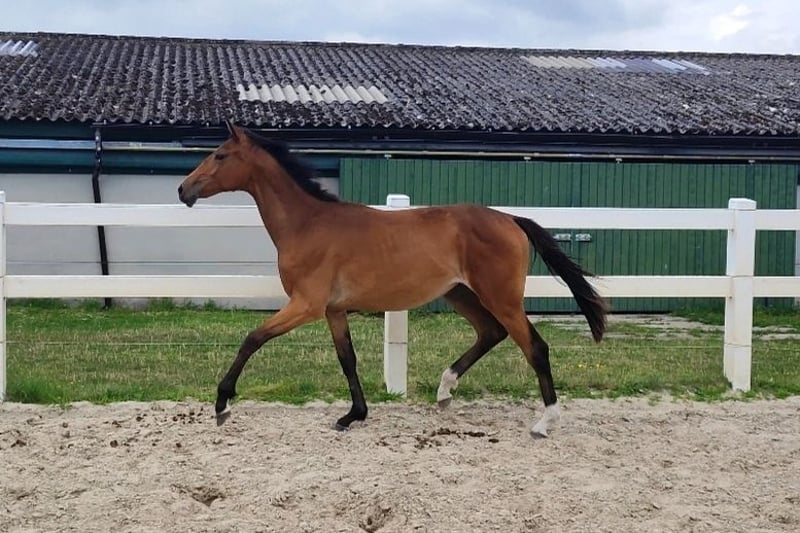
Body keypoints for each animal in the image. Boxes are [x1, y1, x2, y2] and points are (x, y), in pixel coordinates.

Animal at [178, 120, 607, 438]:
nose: (184, 190)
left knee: (535, 347)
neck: (307, 224)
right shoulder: (333, 310)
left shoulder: (306, 305)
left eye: (220, 155)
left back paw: (544, 422)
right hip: (461, 294)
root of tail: (511, 219)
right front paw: (353, 415)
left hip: (501, 297)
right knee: (490, 333)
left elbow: (252, 339)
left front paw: (222, 405)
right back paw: (444, 392)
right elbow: (347, 359)